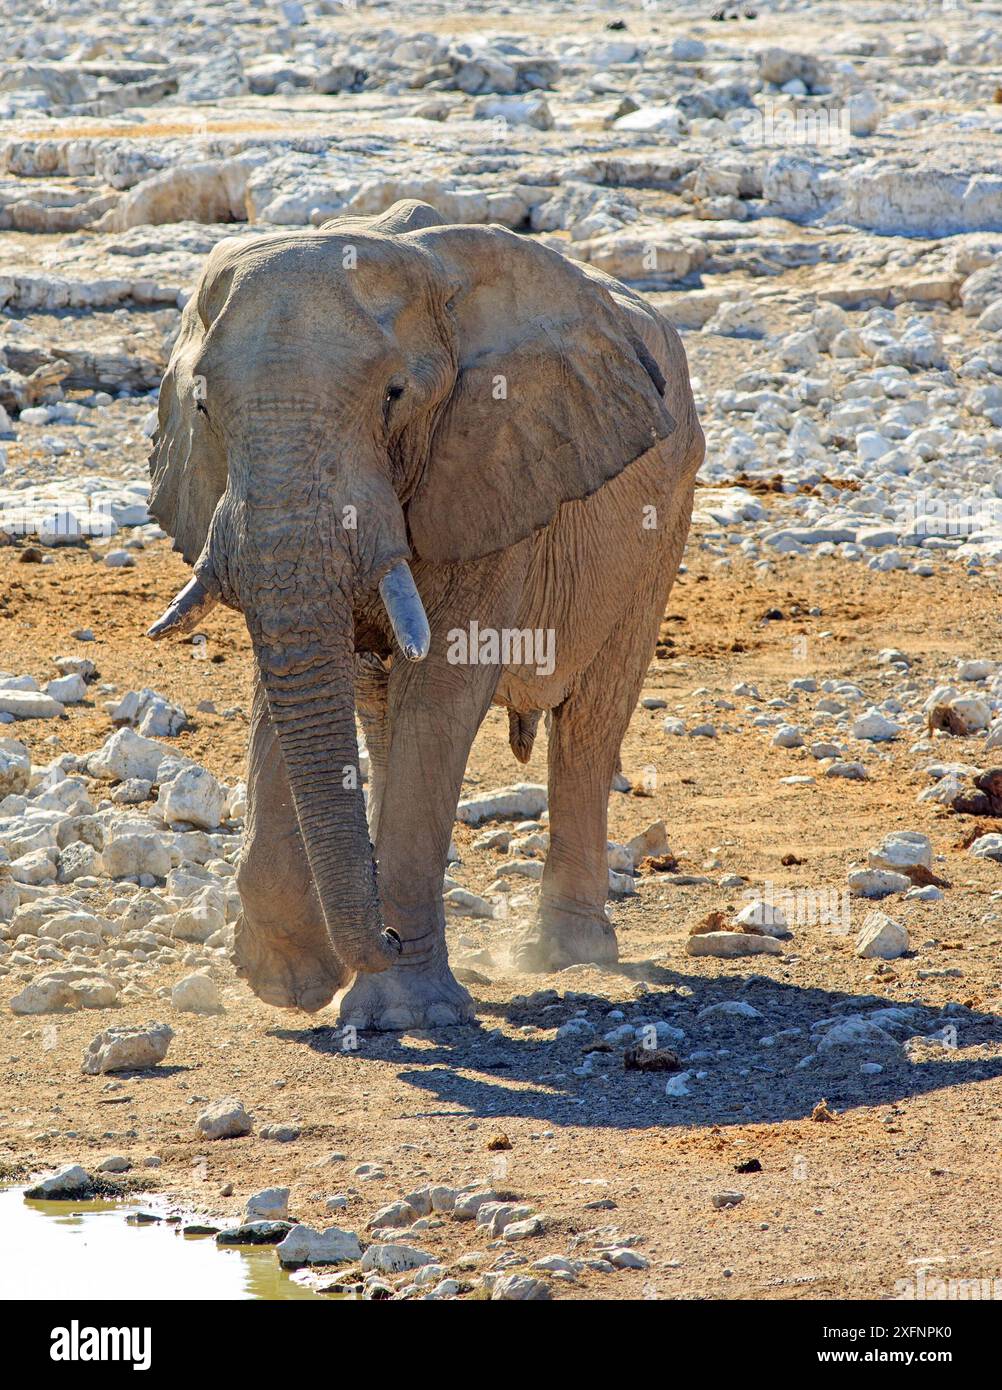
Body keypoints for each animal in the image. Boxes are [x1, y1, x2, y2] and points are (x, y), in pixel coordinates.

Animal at [148, 195, 703, 1028]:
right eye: (206, 407)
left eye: (394, 397)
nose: (379, 936)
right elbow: (291, 681)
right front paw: (289, 984)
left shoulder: (493, 465)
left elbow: (441, 692)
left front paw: (404, 1011)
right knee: (381, 713)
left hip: (664, 521)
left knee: (590, 723)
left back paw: (570, 954)